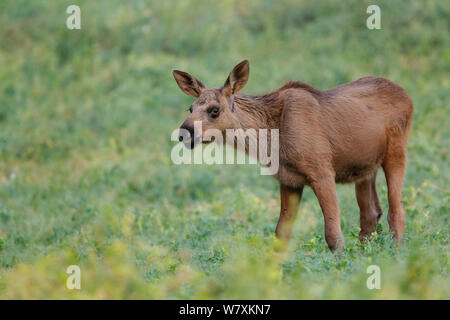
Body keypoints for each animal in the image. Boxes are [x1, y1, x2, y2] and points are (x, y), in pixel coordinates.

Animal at [172, 58, 412, 251]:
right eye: (190, 109)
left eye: (215, 110)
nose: (184, 132)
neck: (270, 140)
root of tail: (408, 96)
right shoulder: (289, 180)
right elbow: (281, 234)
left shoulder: (322, 172)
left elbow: (333, 234)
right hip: (365, 169)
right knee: (370, 215)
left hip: (396, 152)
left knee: (396, 211)